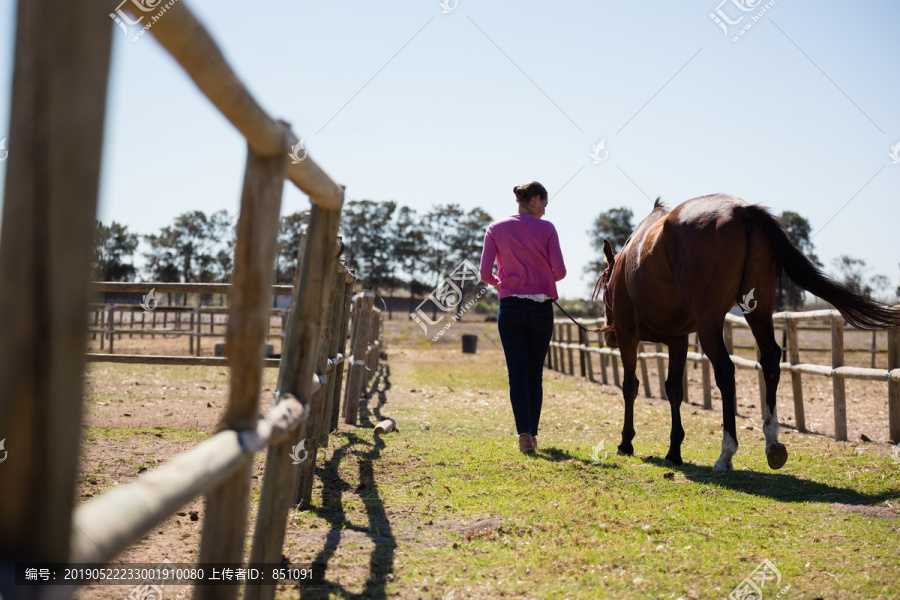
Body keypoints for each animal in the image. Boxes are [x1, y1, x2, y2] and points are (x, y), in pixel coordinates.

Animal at [596, 195, 900, 472]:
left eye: (604, 286)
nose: (608, 335)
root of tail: (740, 210)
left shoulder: (629, 335)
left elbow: (630, 385)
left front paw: (626, 443)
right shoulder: (678, 340)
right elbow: (673, 389)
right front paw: (673, 450)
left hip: (708, 323)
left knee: (725, 370)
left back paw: (726, 453)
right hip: (757, 311)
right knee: (771, 358)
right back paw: (772, 442)